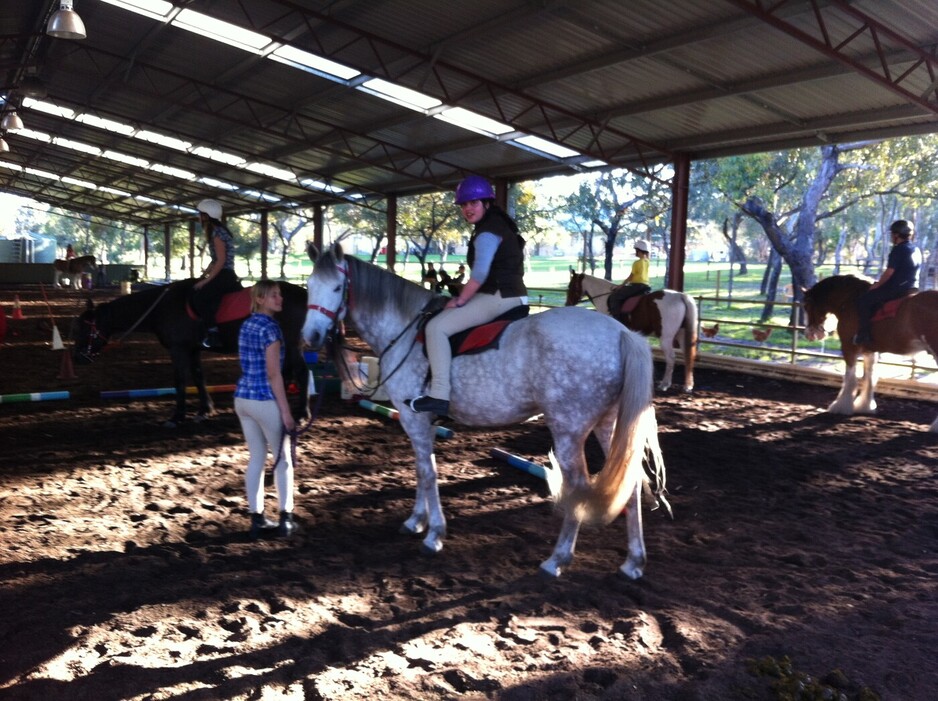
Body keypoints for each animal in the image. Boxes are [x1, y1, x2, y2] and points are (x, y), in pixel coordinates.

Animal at [74, 278, 308, 426]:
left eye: (85, 328)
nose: (79, 358)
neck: (162, 307)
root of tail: (305, 294)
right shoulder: (193, 349)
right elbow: (198, 377)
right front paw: (205, 410)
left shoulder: (178, 350)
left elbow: (180, 380)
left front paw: (177, 417)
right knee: (286, 374)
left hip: (291, 344)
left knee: (302, 373)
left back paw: (302, 415)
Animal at [300, 243, 664, 576]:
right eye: (310, 286)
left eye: (337, 288)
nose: (311, 336)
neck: (404, 331)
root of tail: (620, 332)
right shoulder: (420, 422)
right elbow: (420, 469)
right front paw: (417, 520)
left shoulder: (414, 418)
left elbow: (428, 473)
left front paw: (434, 534)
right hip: (609, 426)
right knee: (632, 484)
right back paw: (634, 561)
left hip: (569, 432)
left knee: (577, 488)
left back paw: (557, 559)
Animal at [564, 270, 696, 392]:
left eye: (571, 286)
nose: (567, 304)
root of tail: (680, 296)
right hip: (681, 334)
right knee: (688, 354)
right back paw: (688, 385)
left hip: (666, 338)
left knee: (671, 358)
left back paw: (665, 384)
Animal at [796, 274, 936, 432]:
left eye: (807, 306)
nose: (810, 334)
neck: (849, 300)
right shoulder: (869, 351)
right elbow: (869, 377)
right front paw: (865, 406)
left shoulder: (848, 347)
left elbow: (850, 378)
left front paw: (841, 406)